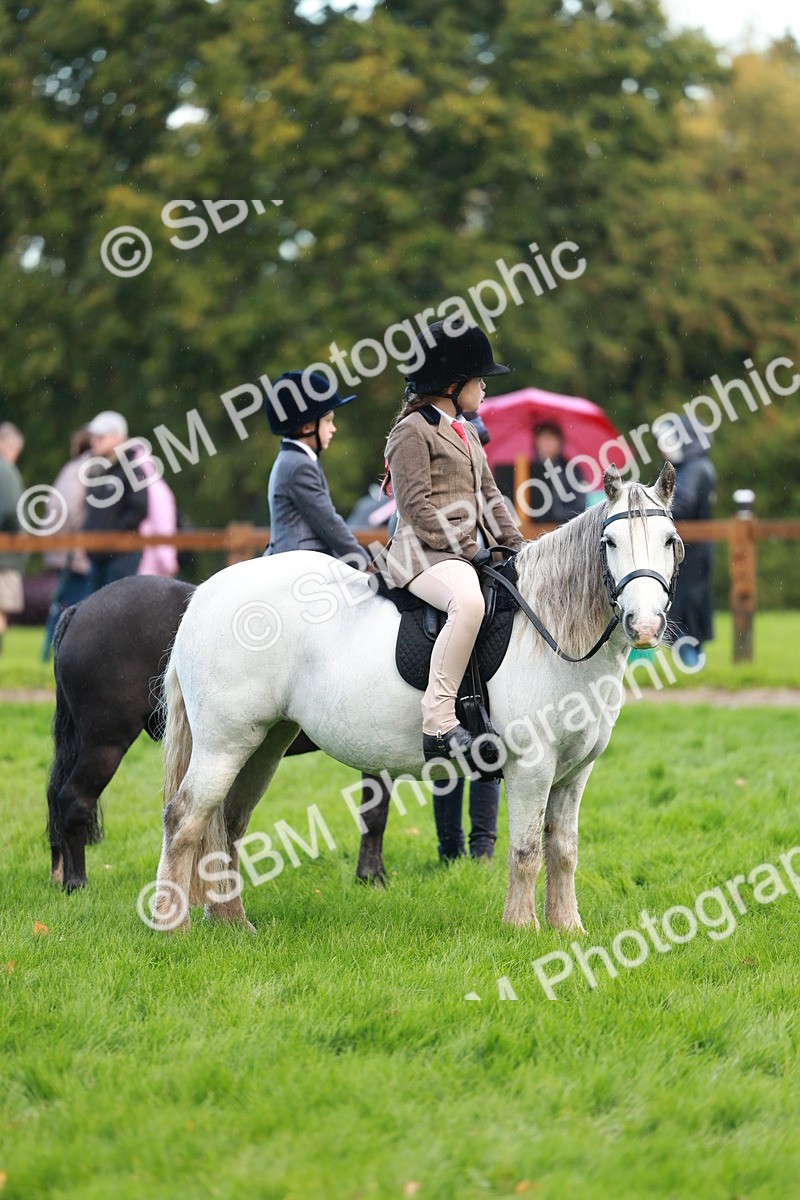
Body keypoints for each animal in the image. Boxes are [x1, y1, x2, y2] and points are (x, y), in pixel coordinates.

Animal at [47, 575, 393, 892]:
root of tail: (79, 609)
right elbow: (375, 813)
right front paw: (372, 876)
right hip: (104, 745)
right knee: (74, 800)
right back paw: (76, 882)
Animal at [153, 464, 682, 933]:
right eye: (609, 543)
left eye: (669, 541)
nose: (644, 625)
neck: (548, 628)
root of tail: (207, 593)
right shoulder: (531, 766)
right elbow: (527, 849)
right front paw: (522, 928)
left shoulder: (574, 773)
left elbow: (564, 851)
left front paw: (567, 927)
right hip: (225, 743)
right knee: (185, 817)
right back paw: (172, 926)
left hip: (264, 744)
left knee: (227, 823)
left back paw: (233, 923)